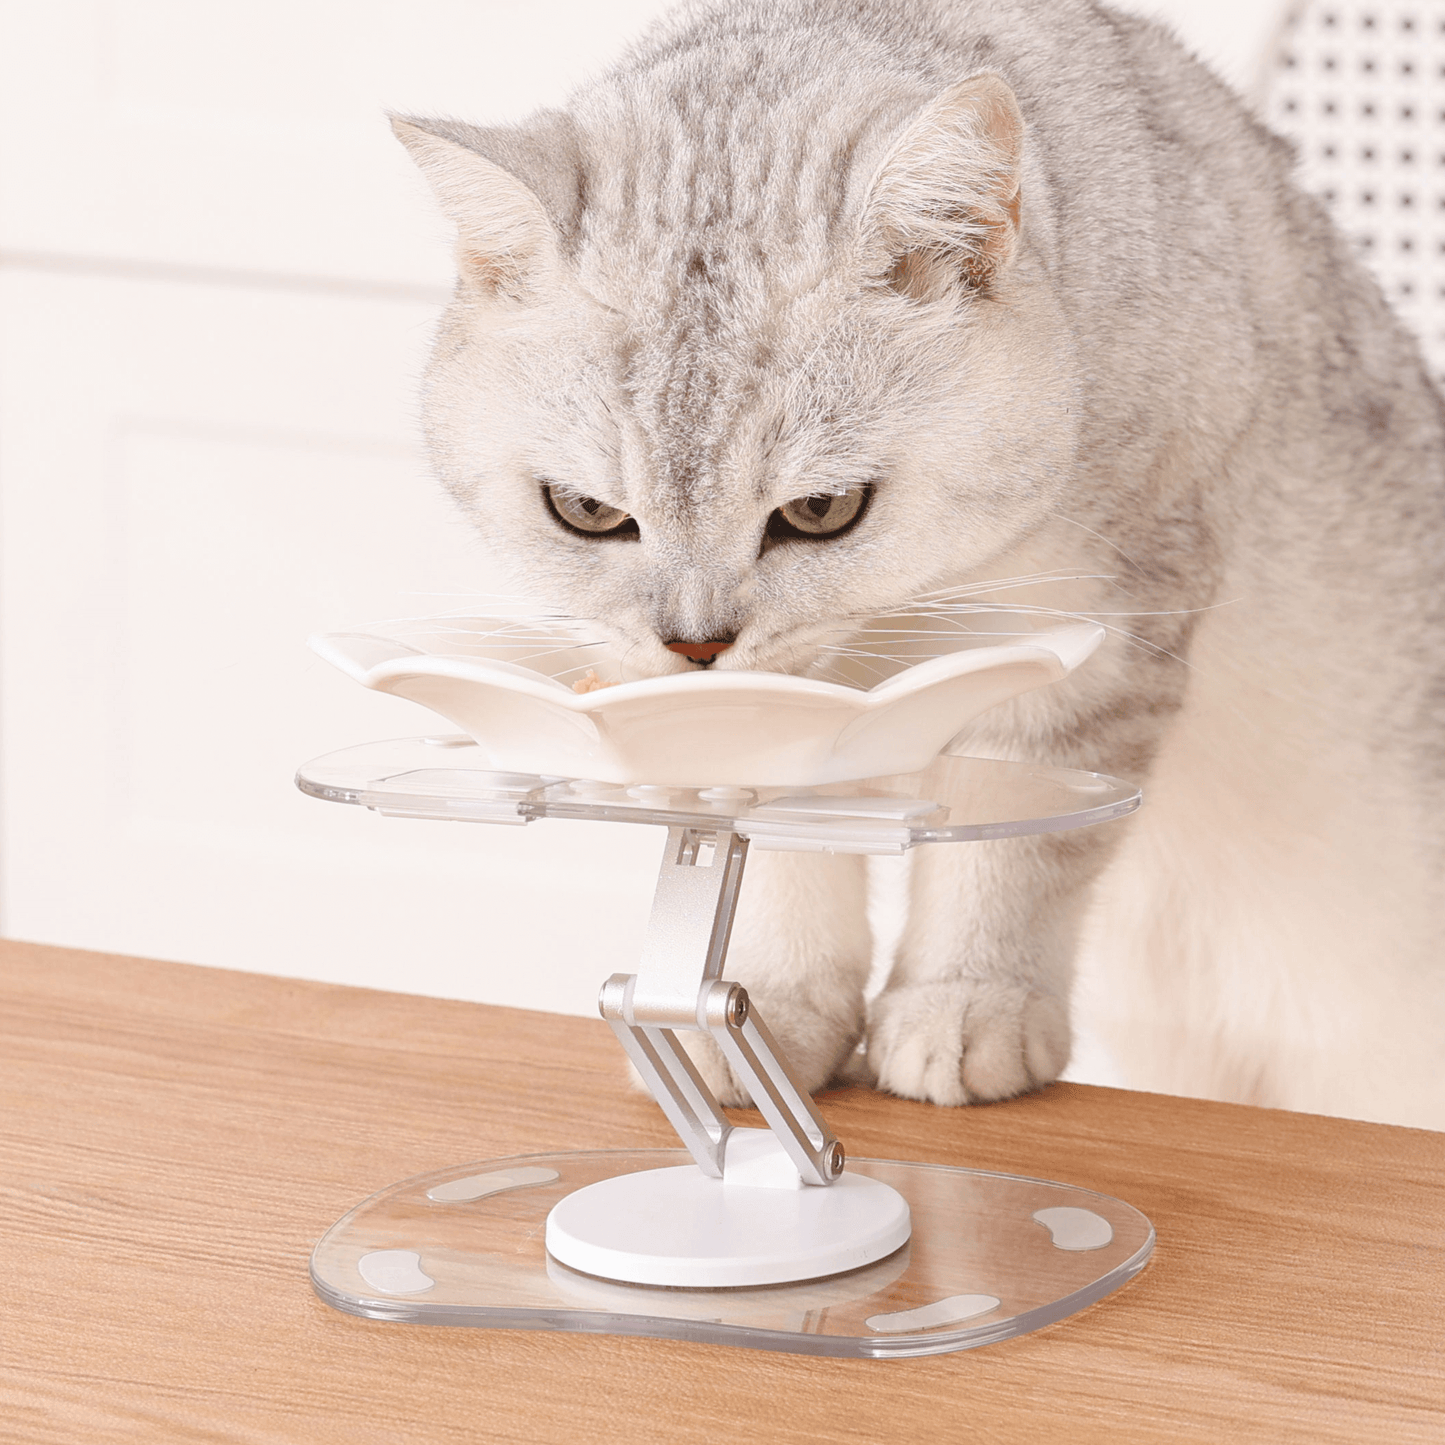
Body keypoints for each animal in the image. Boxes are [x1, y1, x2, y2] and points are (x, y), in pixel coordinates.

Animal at [390, 0, 1445, 1127]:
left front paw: (965, 1004)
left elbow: (1012, 848)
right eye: (587, 512)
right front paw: (770, 1009)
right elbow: (759, 834)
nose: (696, 643)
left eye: (820, 509)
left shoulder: (1102, 637)